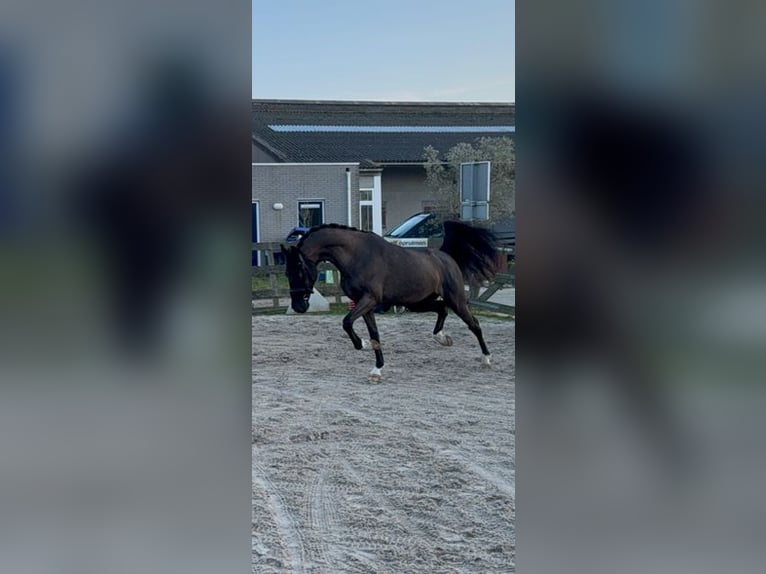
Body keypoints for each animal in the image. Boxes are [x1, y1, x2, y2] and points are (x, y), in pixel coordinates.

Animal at [281, 220, 499, 382]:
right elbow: (374, 333)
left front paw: (362, 344)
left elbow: (347, 322)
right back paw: (442, 338)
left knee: (474, 324)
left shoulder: (370, 299)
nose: (298, 306)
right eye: (287, 272)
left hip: (456, 300)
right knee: (441, 309)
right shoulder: (364, 304)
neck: (356, 255)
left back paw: (486, 359)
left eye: (299, 269)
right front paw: (377, 369)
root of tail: (444, 256)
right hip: (417, 303)